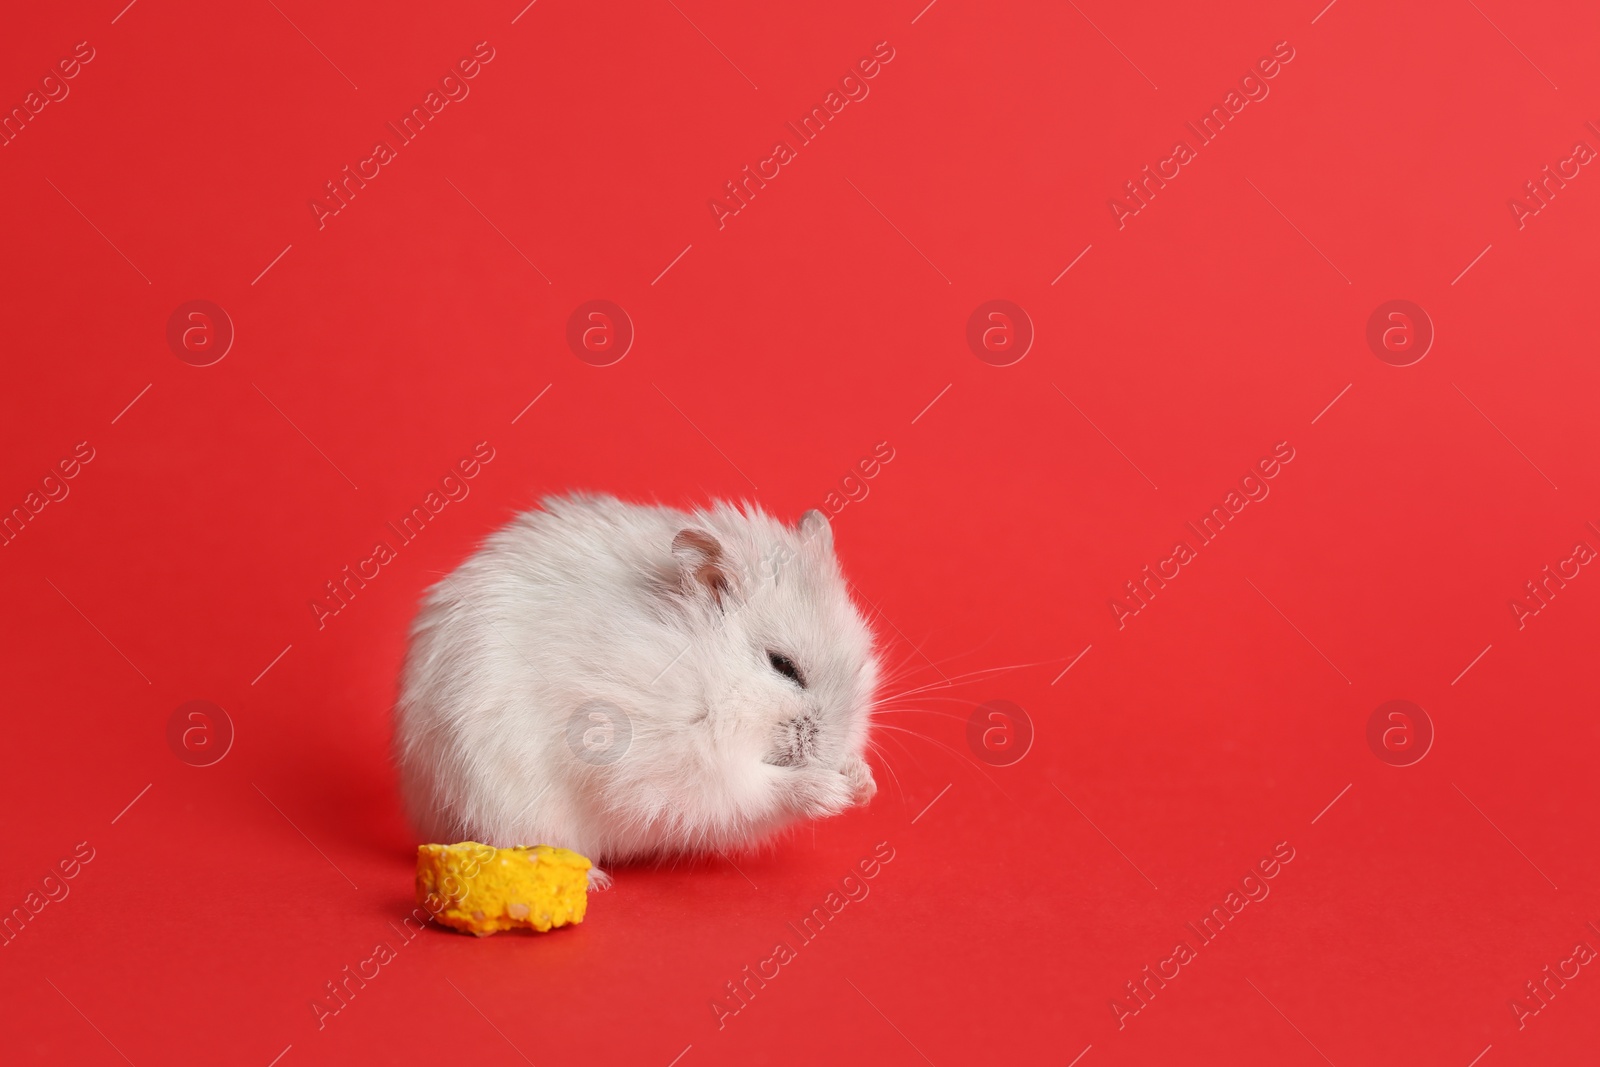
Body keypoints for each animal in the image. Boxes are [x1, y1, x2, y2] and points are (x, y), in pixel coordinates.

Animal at [393, 492, 883, 870]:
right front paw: (829, 790)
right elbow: (748, 789)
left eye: (862, 660)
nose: (832, 751)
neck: (707, 678)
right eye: (783, 666)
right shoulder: (659, 764)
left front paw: (862, 782)